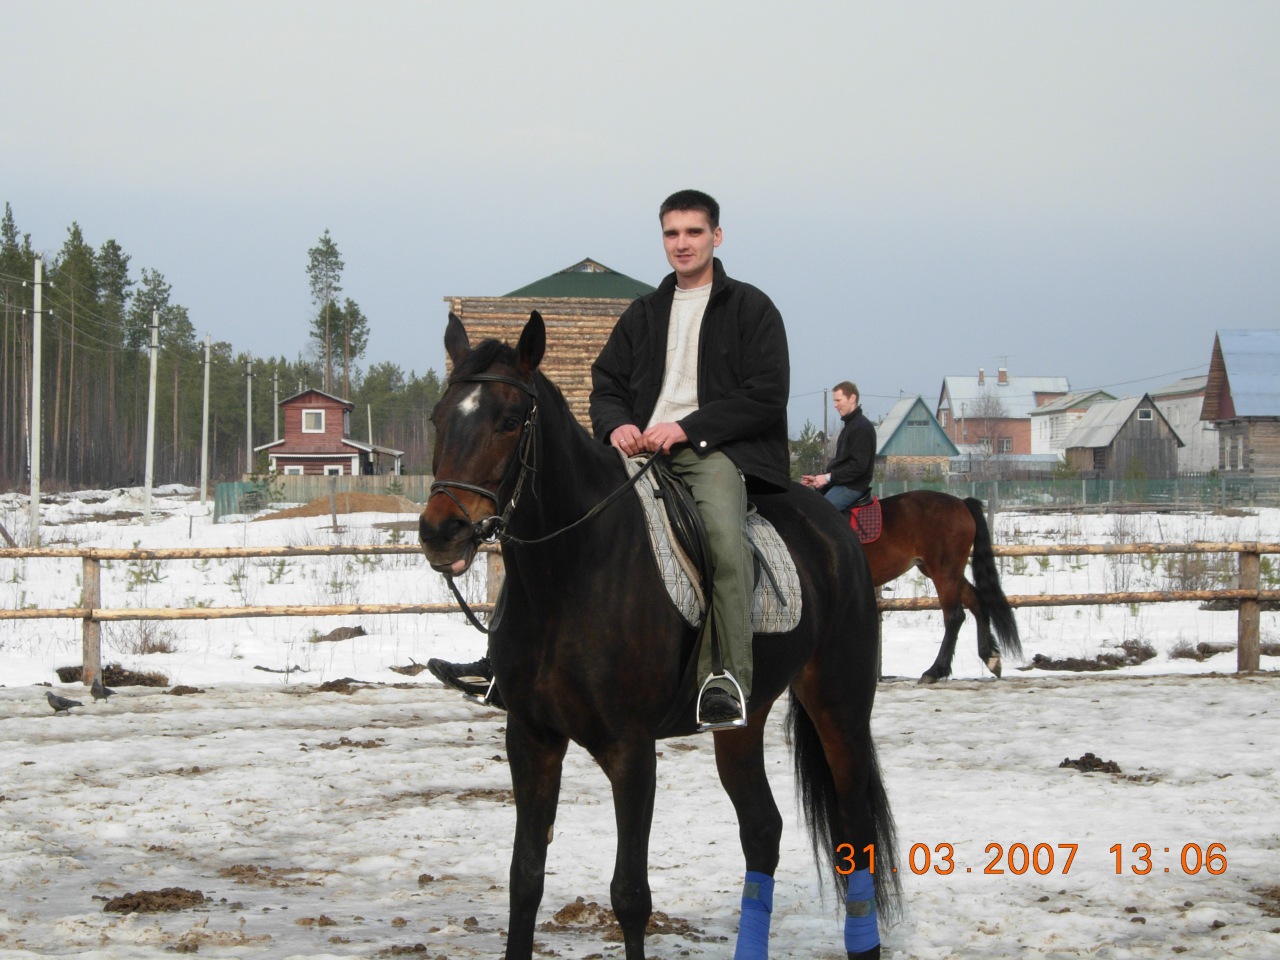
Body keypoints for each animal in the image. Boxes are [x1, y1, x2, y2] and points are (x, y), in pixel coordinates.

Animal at [418, 312, 900, 960]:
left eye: (510, 420)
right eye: (439, 418)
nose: (440, 532)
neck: (568, 573)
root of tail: (837, 533)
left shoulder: (631, 750)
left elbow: (629, 895)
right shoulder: (531, 738)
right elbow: (525, 879)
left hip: (840, 709)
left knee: (855, 830)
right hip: (742, 722)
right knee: (762, 830)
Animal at [861, 491, 1022, 684]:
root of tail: (962, 502)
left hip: (944, 572)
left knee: (954, 617)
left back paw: (935, 670)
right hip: (946, 572)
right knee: (976, 602)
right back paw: (989, 656)